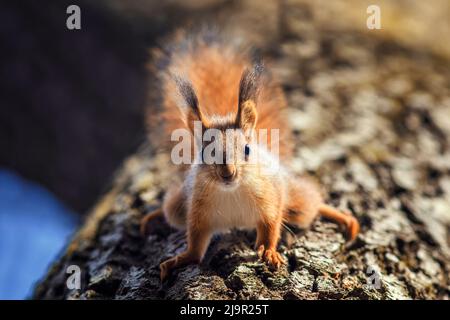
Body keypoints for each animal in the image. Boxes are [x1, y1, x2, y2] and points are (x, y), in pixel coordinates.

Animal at [141, 31, 358, 282]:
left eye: (246, 150)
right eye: (204, 152)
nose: (227, 173)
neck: (231, 191)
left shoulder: (271, 196)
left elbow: (271, 225)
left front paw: (270, 252)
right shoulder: (197, 210)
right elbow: (195, 248)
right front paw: (178, 260)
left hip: (295, 202)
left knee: (308, 204)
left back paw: (341, 217)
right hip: (179, 207)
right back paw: (154, 216)